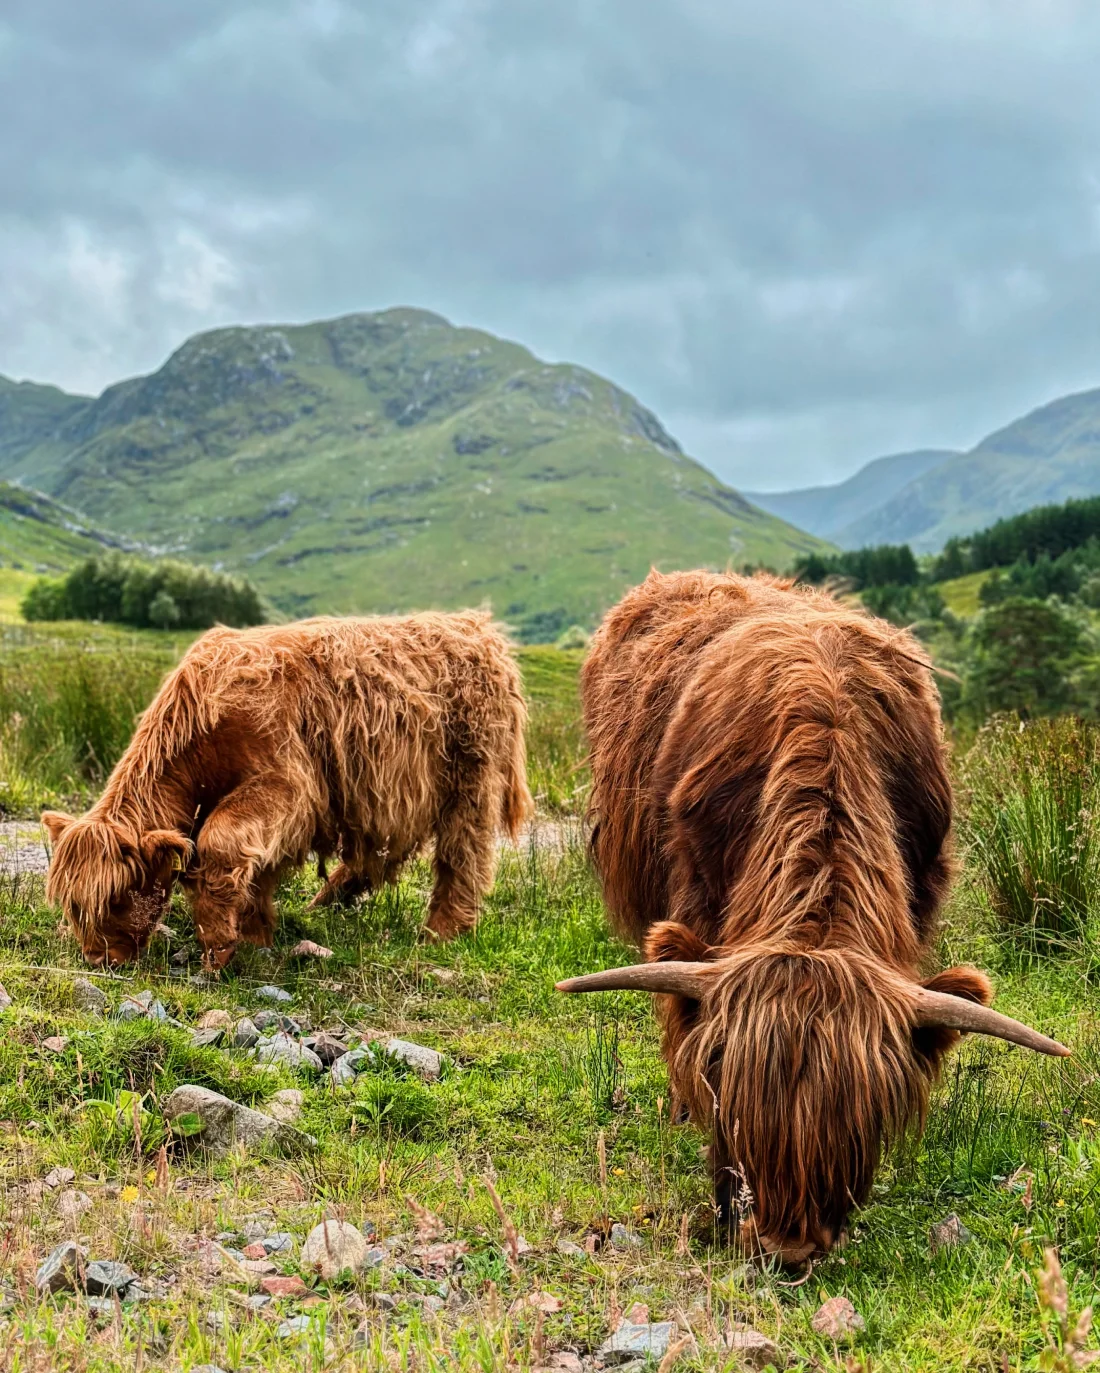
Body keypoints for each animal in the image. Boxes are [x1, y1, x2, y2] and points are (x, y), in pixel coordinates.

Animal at [44, 612, 535, 966]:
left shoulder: (287, 785)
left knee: (462, 852)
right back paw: (329, 900)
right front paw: (254, 933)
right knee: (383, 851)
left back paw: (442, 931)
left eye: (116, 897)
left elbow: (220, 841)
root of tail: (476, 627)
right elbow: (256, 866)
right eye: (71, 904)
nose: (98, 958)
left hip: (472, 774)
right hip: (389, 794)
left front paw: (219, 944)